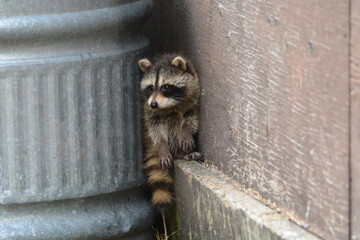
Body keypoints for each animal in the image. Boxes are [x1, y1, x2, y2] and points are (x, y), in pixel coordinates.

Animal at [138, 53, 202, 213]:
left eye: (166, 87)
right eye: (151, 87)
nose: (153, 104)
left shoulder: (193, 96)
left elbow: (190, 119)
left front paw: (186, 133)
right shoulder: (148, 110)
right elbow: (155, 129)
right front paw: (162, 146)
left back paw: (182, 152)